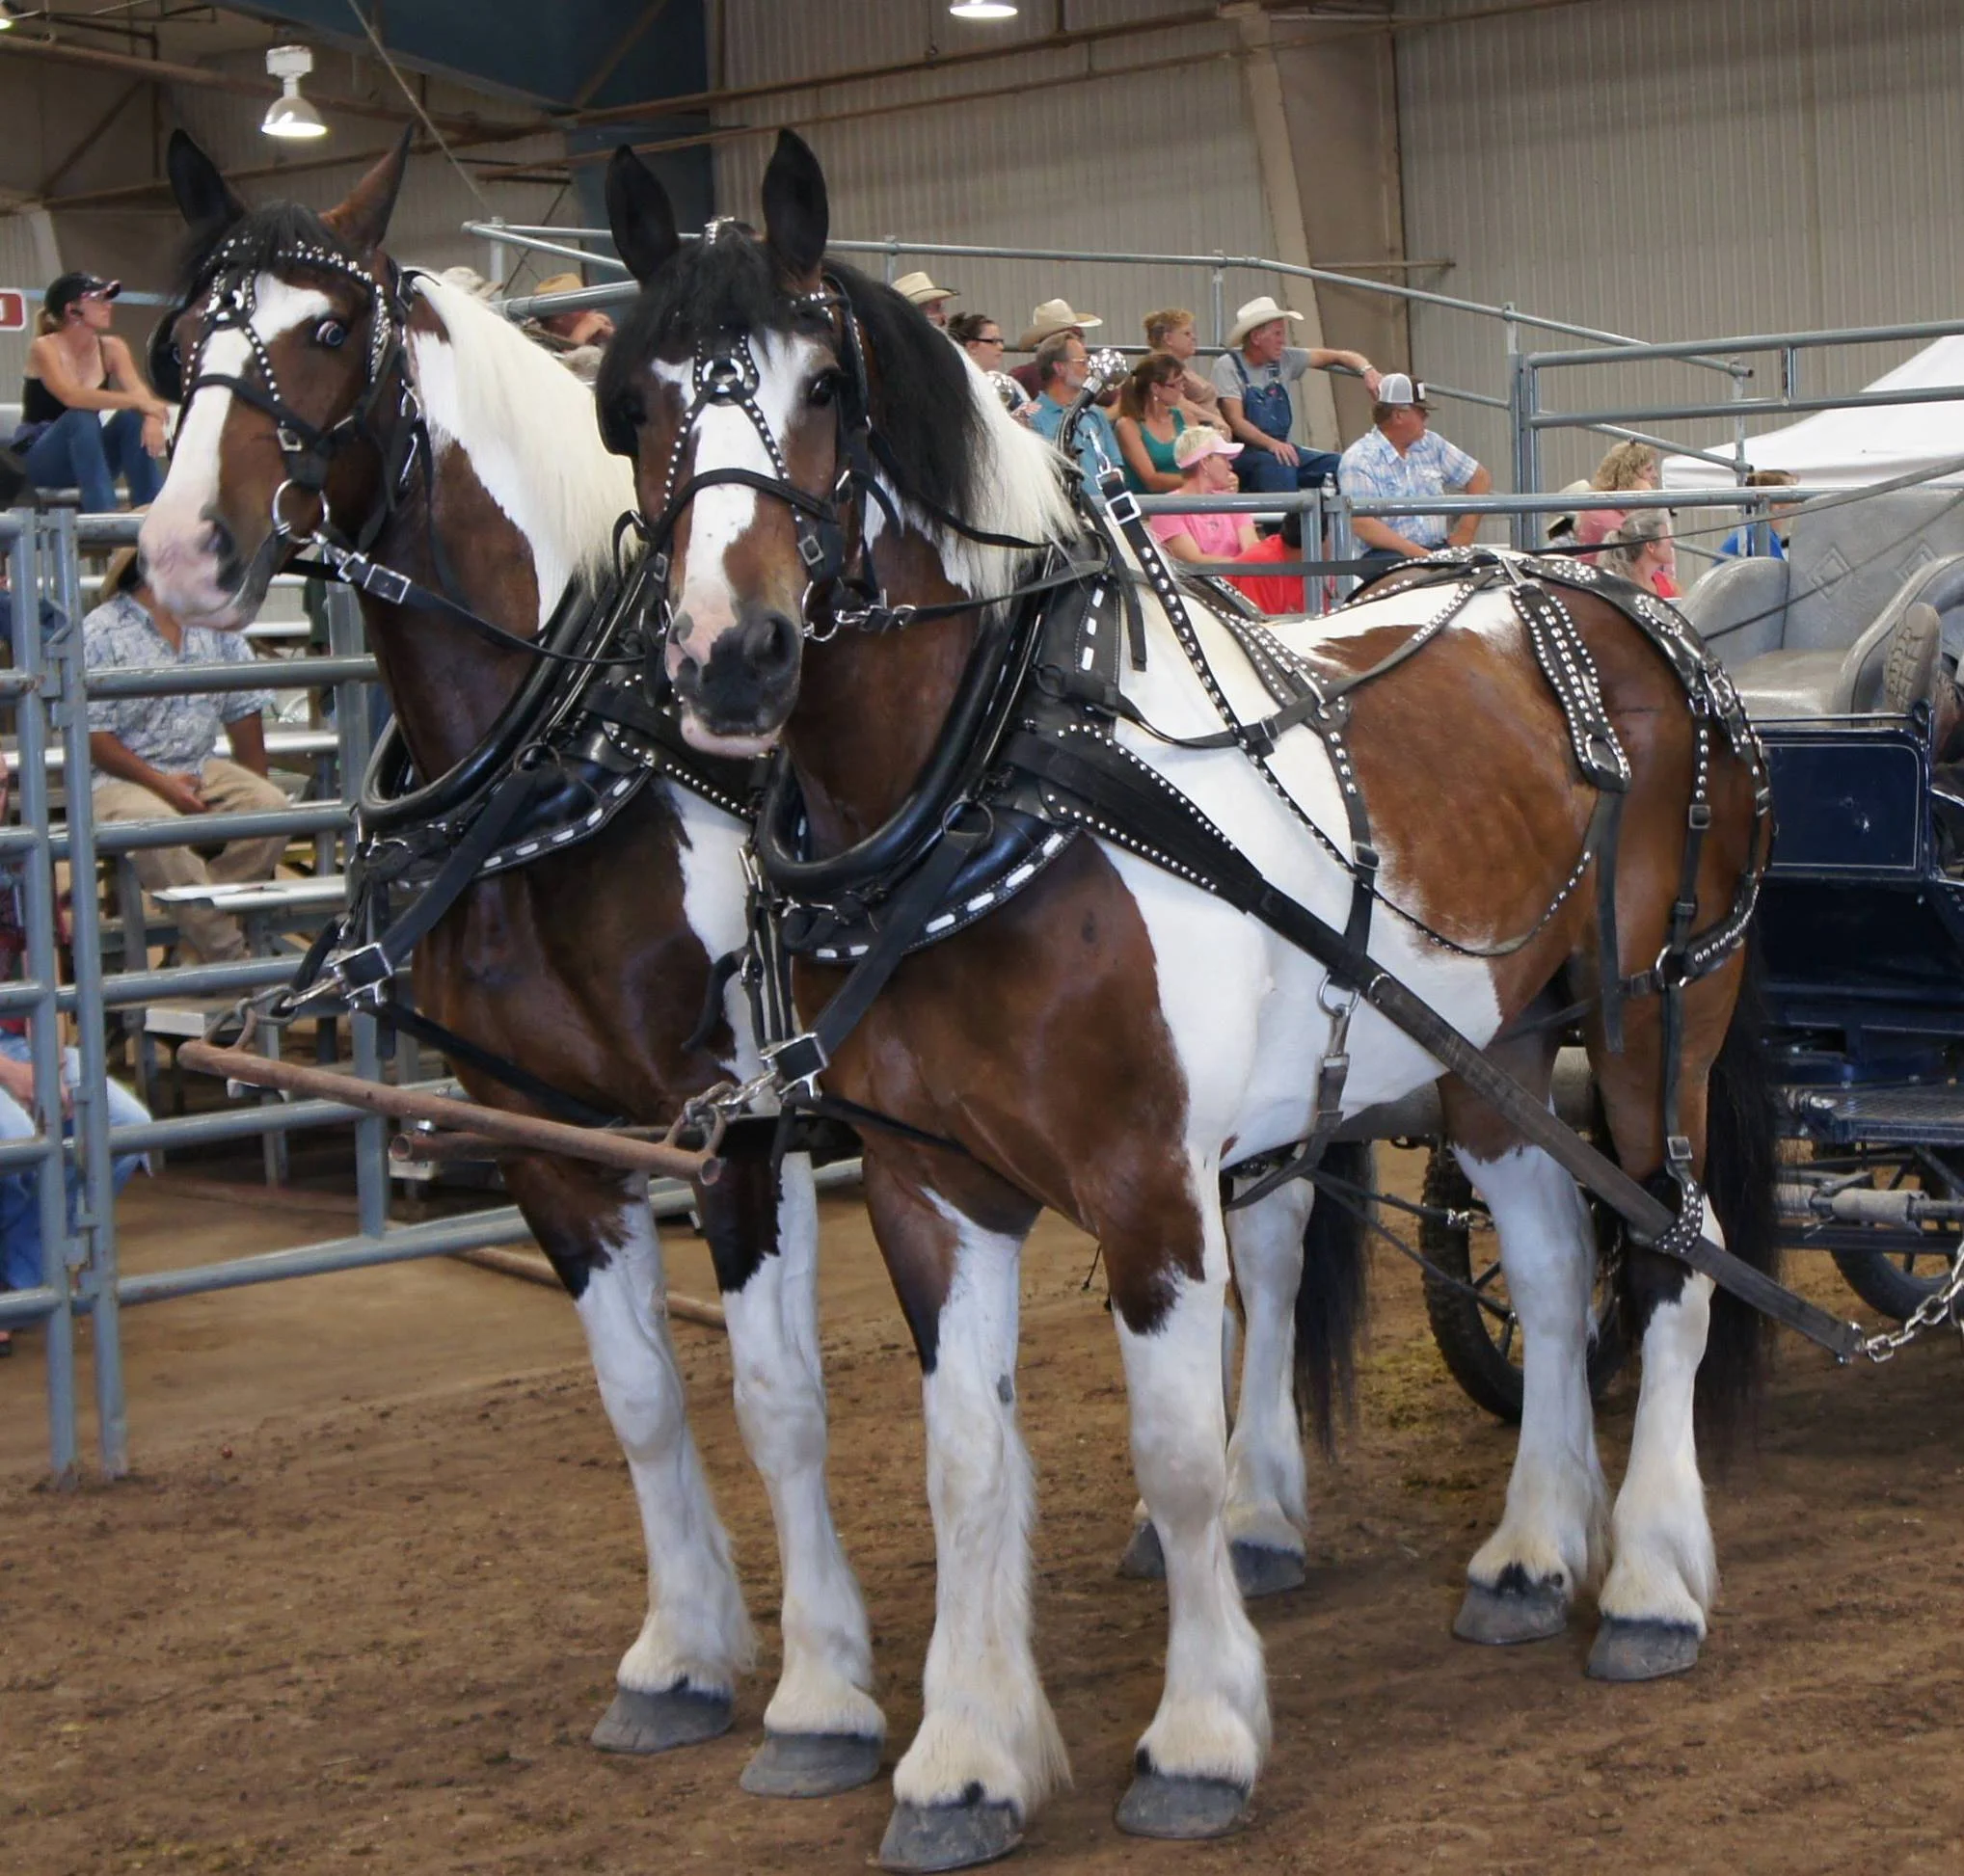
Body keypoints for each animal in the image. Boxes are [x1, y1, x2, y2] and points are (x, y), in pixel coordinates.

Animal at [134, 131, 888, 1801]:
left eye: (326, 330)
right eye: (178, 340)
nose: (178, 552)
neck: (581, 755)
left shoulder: (739, 1123)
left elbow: (782, 1400)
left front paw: (821, 1689)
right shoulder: (539, 1129)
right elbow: (642, 1398)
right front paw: (681, 1656)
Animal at [600, 129, 1778, 1870]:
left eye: (822, 385)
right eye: (633, 400)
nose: (726, 657)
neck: (998, 783)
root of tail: (1625, 608)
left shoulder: (1150, 1177)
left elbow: (1173, 1455)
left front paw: (1202, 1734)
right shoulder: (928, 1184)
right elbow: (965, 1460)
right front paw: (963, 1756)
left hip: (1658, 1018)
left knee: (1675, 1253)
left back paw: (1642, 1579)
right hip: (1491, 1051)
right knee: (1563, 1267)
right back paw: (1525, 1551)